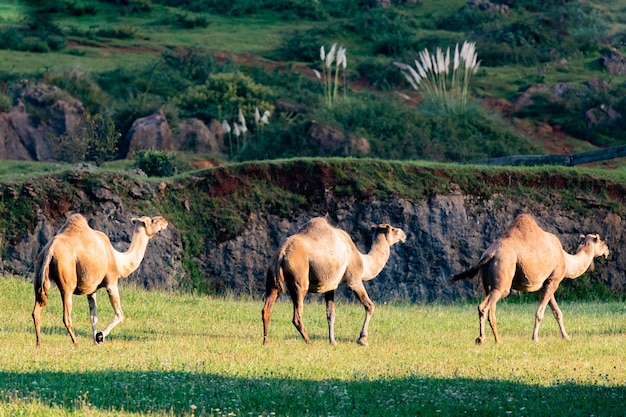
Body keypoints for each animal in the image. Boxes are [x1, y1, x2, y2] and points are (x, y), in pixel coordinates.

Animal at [31, 213, 168, 346]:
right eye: (153, 220)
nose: (164, 220)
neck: (118, 261)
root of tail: (49, 250)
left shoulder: (92, 289)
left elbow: (93, 317)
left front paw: (95, 341)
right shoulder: (111, 283)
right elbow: (120, 314)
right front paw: (100, 337)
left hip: (38, 275)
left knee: (36, 311)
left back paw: (39, 343)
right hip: (67, 283)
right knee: (66, 316)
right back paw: (76, 343)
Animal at [258, 216, 404, 346]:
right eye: (393, 229)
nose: (403, 234)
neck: (363, 262)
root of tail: (282, 253)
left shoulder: (330, 285)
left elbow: (330, 314)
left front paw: (332, 341)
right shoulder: (354, 279)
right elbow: (370, 306)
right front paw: (362, 340)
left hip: (272, 279)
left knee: (266, 309)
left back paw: (266, 341)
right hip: (299, 281)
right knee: (297, 316)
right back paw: (309, 342)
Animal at [450, 213, 608, 342]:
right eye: (601, 242)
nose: (607, 250)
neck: (566, 259)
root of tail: (489, 254)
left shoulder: (548, 282)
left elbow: (557, 312)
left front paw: (566, 336)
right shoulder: (554, 280)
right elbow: (540, 313)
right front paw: (535, 338)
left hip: (489, 282)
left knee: (491, 309)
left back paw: (497, 340)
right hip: (504, 275)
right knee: (484, 307)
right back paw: (481, 339)